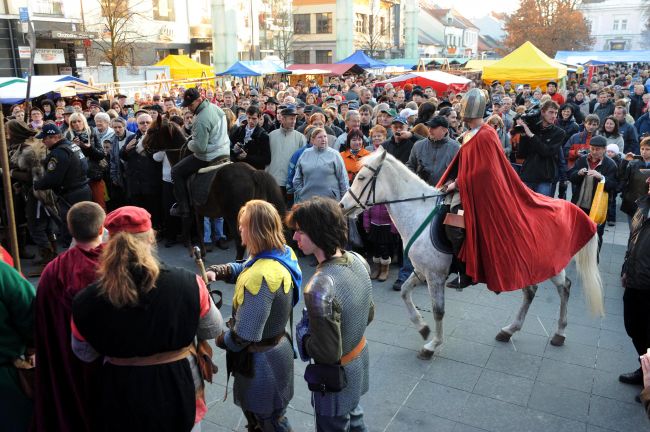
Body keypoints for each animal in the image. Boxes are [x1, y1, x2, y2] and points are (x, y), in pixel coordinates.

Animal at [140, 113, 284, 260]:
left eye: (151, 131)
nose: (140, 146)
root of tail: (253, 172)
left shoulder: (188, 208)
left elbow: (187, 226)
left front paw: (192, 251)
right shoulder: (198, 208)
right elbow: (200, 229)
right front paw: (202, 252)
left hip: (234, 216)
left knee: (240, 243)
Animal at [340, 150, 604, 360]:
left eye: (361, 178)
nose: (342, 206)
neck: (418, 212)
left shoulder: (435, 276)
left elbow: (438, 310)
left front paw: (432, 345)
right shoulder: (422, 271)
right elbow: (405, 292)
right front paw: (423, 328)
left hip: (550, 264)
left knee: (564, 288)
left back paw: (559, 332)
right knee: (531, 291)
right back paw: (509, 330)